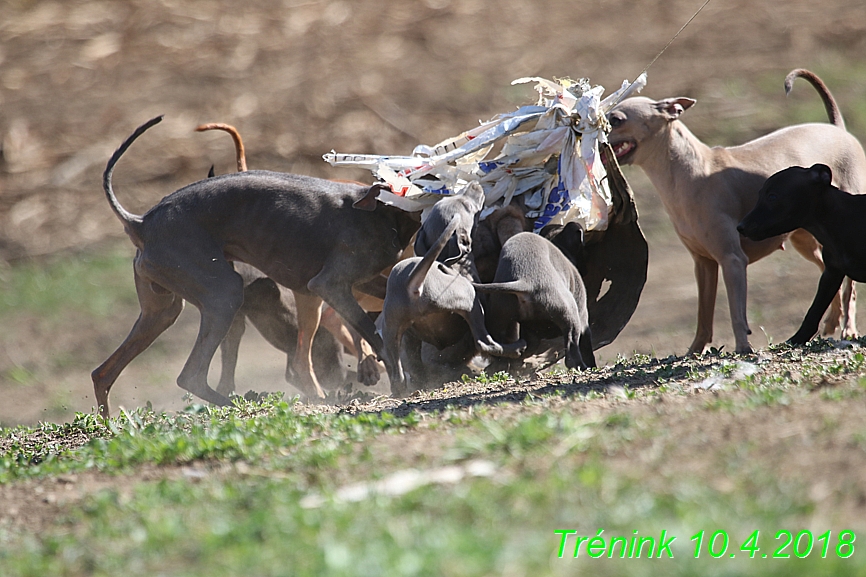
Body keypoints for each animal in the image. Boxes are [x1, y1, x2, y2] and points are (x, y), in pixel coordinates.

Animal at [736, 162, 864, 344]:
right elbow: (814, 310)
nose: (740, 227)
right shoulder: (831, 273)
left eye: (773, 197)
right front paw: (798, 338)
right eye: (760, 195)